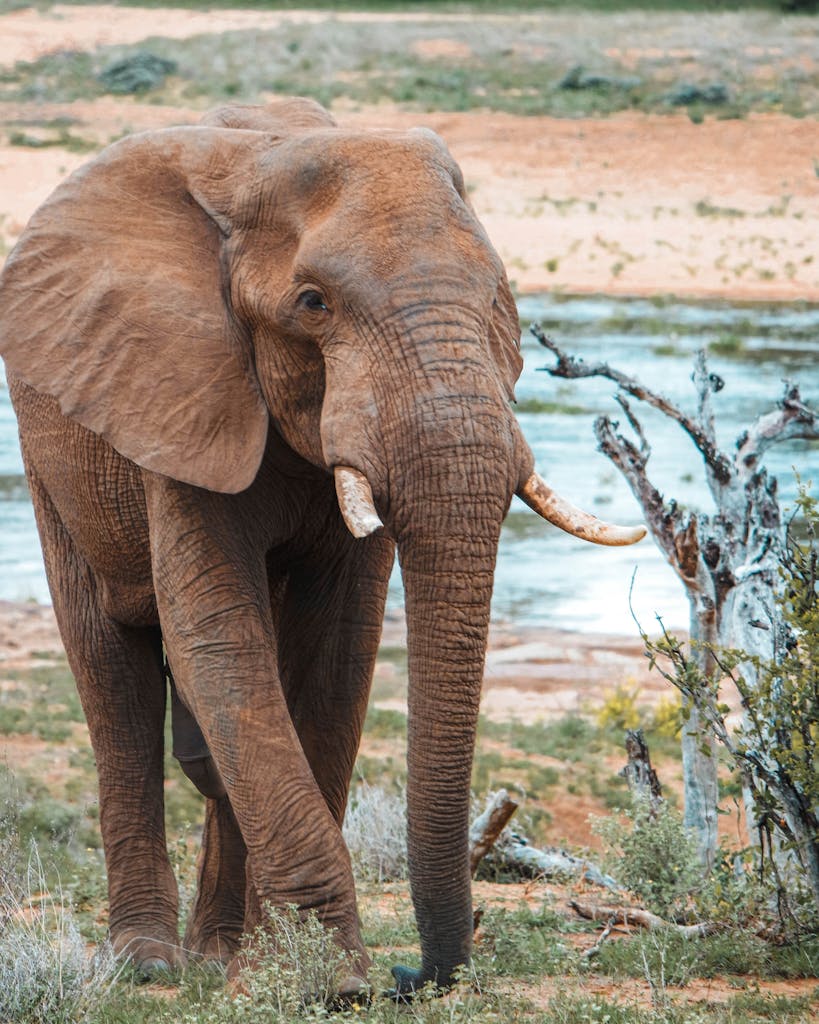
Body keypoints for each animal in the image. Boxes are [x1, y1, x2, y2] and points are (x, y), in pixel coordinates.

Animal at [0, 97, 644, 996]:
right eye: (312, 302)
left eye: (499, 298)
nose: (419, 974)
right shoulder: (181, 389)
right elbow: (219, 640)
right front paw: (331, 982)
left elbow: (339, 650)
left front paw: (288, 968)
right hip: (52, 446)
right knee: (113, 675)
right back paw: (151, 965)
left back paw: (217, 955)